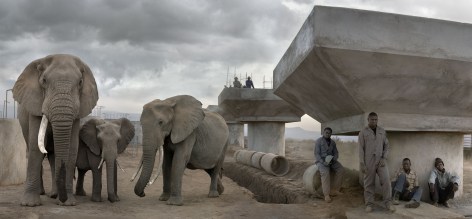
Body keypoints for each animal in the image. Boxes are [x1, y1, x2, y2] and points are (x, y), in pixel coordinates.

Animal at [13, 54, 97, 206]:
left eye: (80, 82)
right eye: (44, 81)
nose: (63, 199)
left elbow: (71, 148)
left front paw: (68, 203)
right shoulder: (35, 104)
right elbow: (35, 147)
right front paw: (30, 204)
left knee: (53, 157)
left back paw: (53, 195)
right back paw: (43, 193)